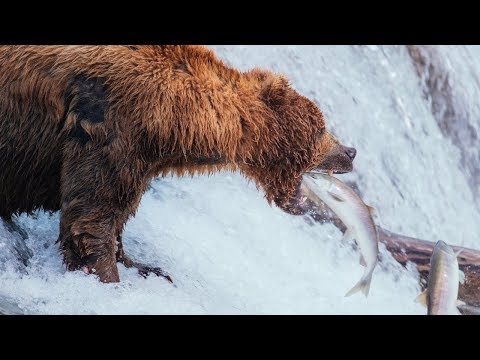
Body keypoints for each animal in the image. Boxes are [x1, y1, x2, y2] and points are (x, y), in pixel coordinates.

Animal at [0, 45, 356, 282]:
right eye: (322, 128)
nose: (351, 151)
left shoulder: (140, 159)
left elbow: (118, 212)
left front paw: (144, 266)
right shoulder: (108, 126)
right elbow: (90, 215)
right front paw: (106, 276)